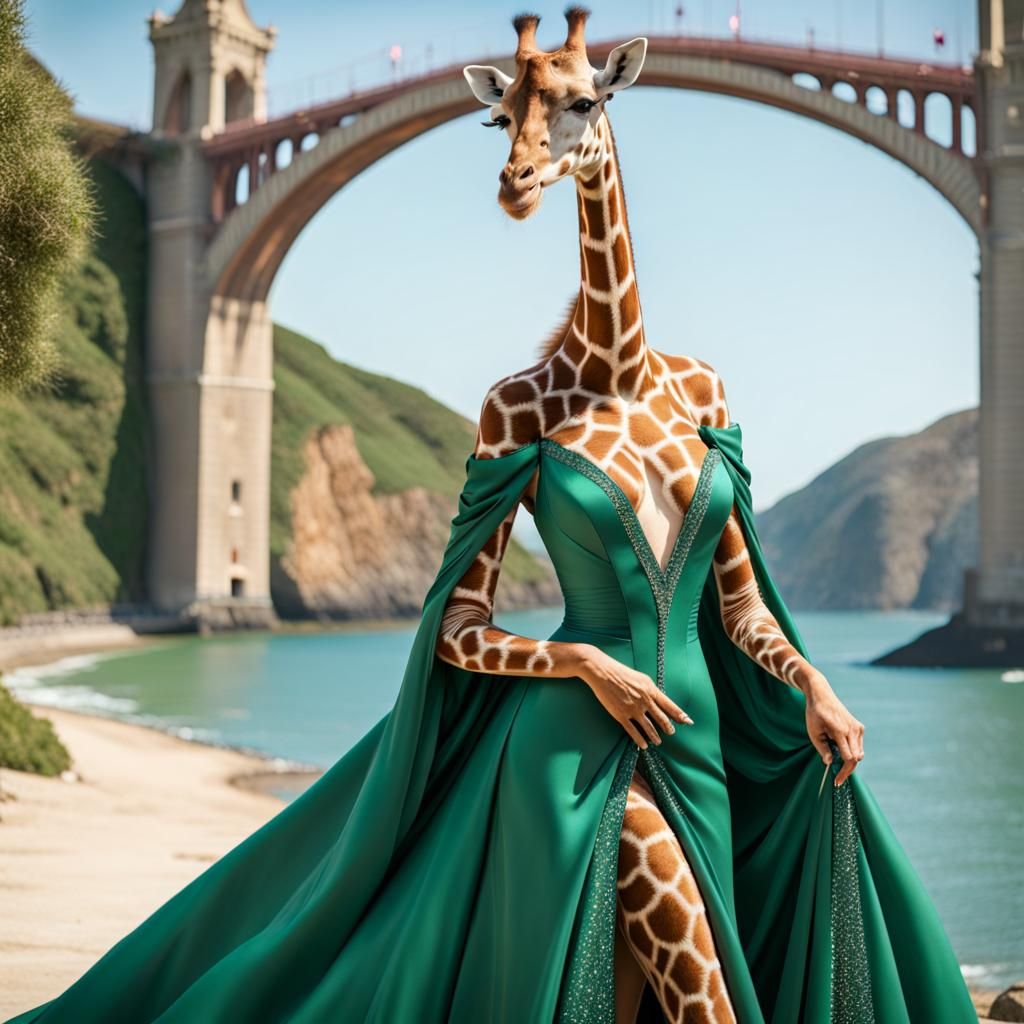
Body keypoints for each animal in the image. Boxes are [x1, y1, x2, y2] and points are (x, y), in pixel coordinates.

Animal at [437, 8, 866, 1021]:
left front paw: (829, 718)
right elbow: (464, 622)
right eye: (496, 117)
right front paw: (626, 681)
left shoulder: (723, 414)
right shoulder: (495, 429)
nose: (515, 186)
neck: (617, 362)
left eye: (584, 102)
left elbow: (744, 609)